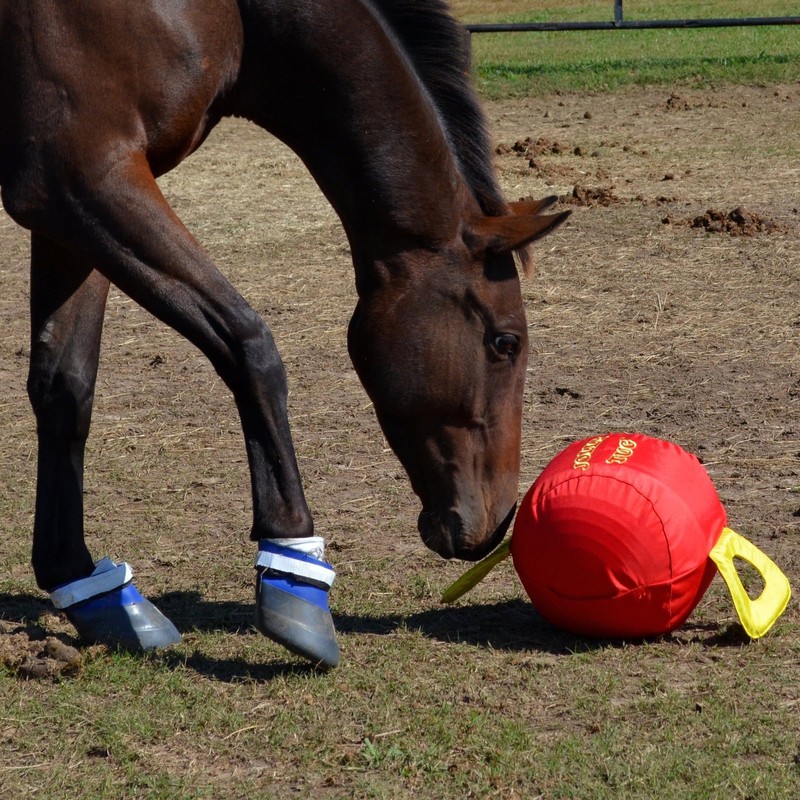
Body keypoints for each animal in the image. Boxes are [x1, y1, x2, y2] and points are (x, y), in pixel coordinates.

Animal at [0, 0, 569, 668]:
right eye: (505, 343)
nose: (499, 522)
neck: (237, 18)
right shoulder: (80, 175)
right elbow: (250, 347)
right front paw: (293, 572)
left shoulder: (69, 207)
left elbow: (64, 388)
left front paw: (88, 588)